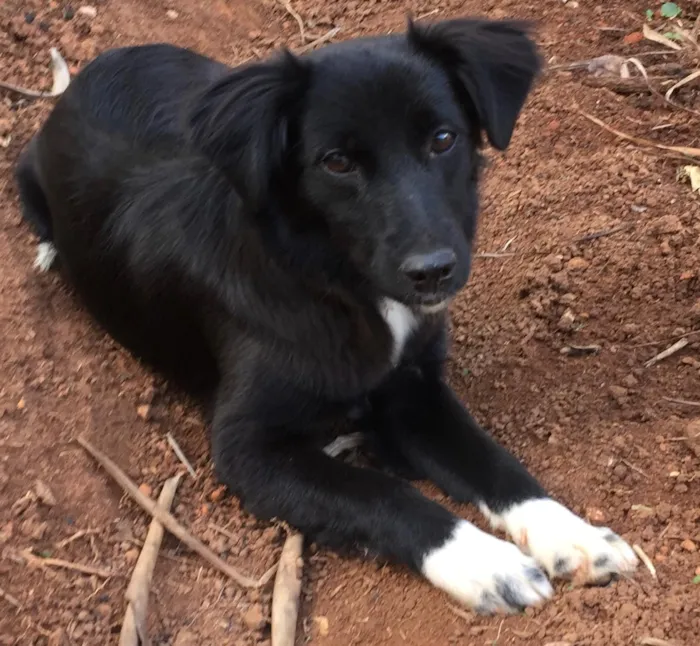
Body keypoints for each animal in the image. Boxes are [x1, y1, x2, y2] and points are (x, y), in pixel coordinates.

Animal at [17, 16, 640, 612]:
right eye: (337, 162)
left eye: (443, 138)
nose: (432, 272)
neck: (335, 282)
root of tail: (93, 71)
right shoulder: (249, 450)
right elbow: (383, 492)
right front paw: (488, 564)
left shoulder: (415, 389)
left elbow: (491, 460)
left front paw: (572, 534)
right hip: (30, 171)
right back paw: (49, 251)